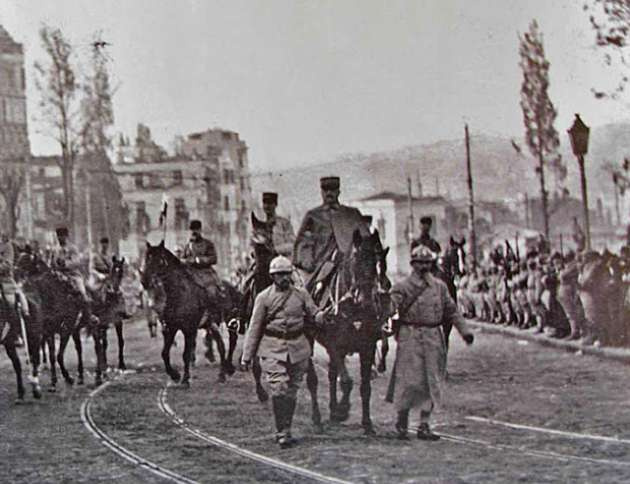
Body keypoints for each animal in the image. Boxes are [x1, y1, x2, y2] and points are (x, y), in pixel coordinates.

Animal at [142, 242, 231, 386]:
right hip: (210, 324)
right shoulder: (171, 328)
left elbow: (186, 354)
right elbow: (164, 353)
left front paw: (185, 379)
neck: (179, 293)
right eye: (146, 258)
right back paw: (222, 374)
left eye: (158, 260)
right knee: (221, 345)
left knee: (221, 346)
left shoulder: (189, 329)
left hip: (216, 322)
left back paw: (223, 375)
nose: (144, 280)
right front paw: (175, 375)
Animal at [306, 230, 390, 434]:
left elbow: (365, 387)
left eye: (377, 265)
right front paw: (342, 410)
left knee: (331, 374)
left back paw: (332, 410)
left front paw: (367, 423)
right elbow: (346, 381)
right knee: (313, 380)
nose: (367, 301)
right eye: (355, 261)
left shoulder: (367, 348)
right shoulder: (334, 345)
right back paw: (318, 418)